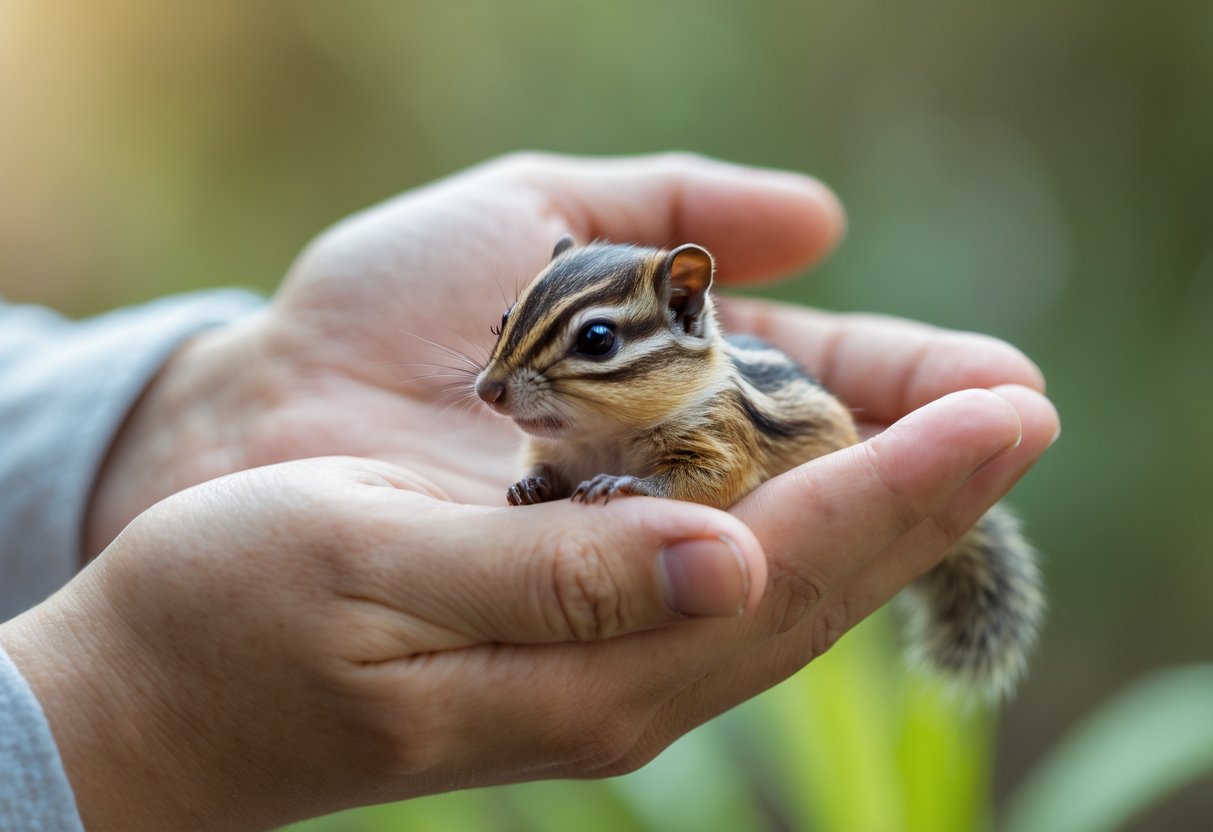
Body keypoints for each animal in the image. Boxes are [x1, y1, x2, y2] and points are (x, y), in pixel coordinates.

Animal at [474, 237, 1043, 698]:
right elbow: (544, 467)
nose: (487, 391)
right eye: (503, 317)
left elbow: (709, 481)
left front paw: (623, 483)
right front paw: (529, 486)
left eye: (597, 338)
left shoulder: (723, 438)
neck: (602, 436)